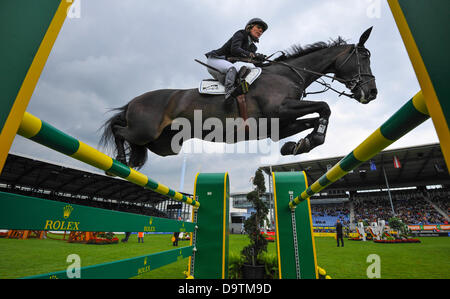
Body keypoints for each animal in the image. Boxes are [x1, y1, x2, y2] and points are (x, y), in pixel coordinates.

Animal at [101, 27, 376, 171]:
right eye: (363, 57)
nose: (372, 93)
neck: (289, 74)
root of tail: (134, 101)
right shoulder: (281, 109)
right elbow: (325, 107)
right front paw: (310, 141)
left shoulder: (281, 125)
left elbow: (315, 118)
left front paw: (297, 146)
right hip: (144, 131)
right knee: (118, 128)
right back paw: (120, 161)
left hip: (164, 145)